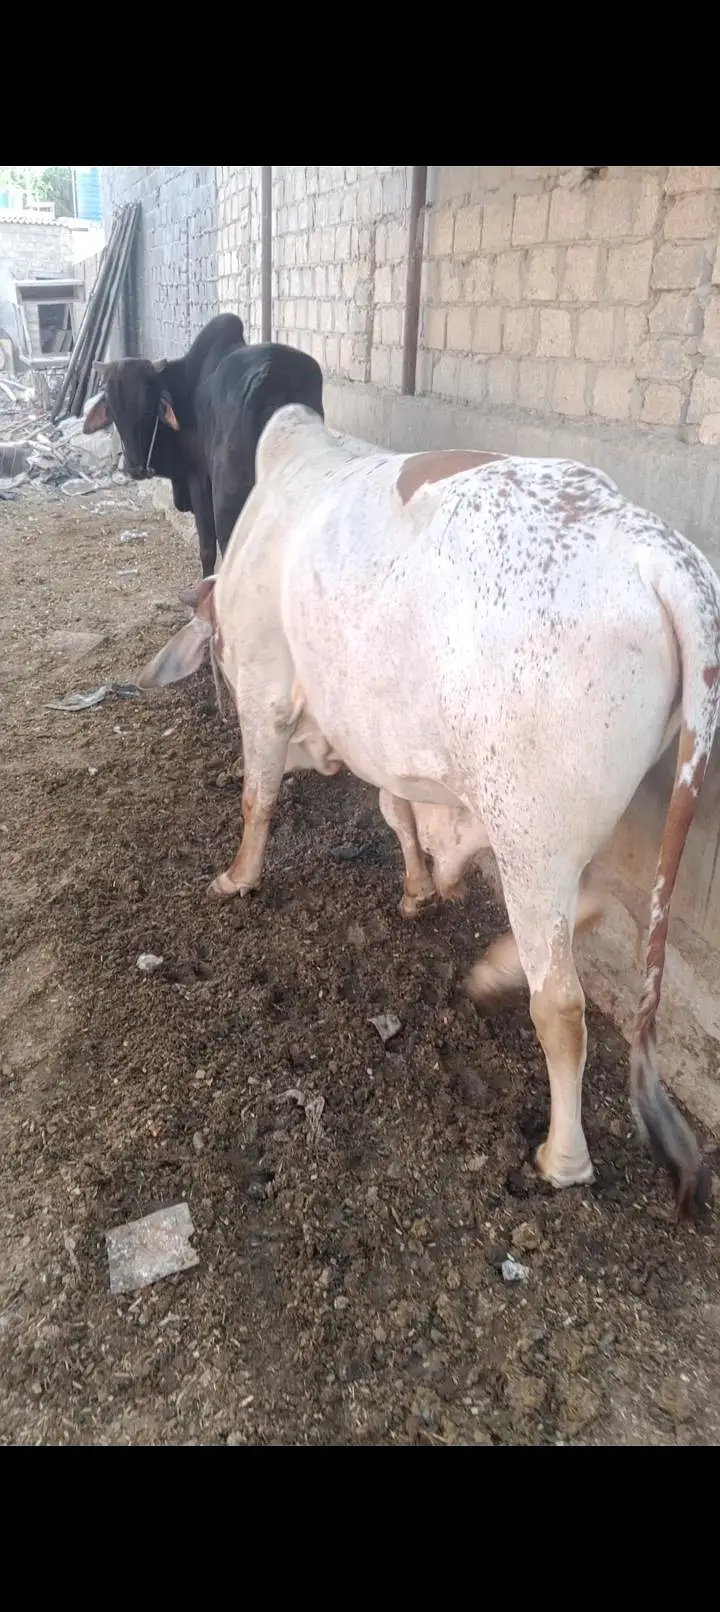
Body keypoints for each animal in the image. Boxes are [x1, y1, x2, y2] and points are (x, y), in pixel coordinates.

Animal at [82, 313, 324, 578]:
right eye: (114, 410)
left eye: (148, 408)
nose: (135, 469)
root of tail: (272, 377)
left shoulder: (197, 480)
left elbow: (207, 549)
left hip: (229, 498)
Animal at [137, 406, 720, 1217]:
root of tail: (655, 546)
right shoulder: (390, 744)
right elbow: (397, 811)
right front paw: (418, 890)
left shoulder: (266, 687)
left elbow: (259, 795)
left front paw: (237, 877)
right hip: (576, 820)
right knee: (596, 906)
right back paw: (493, 970)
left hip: (529, 833)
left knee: (562, 1004)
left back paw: (562, 1155)